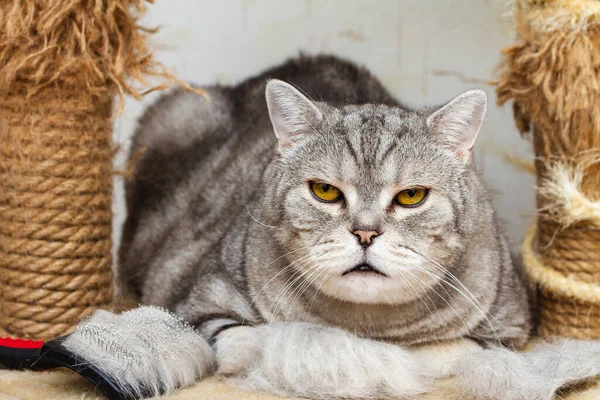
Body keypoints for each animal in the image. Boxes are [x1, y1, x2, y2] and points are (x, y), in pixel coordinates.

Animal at [97, 56, 596, 400]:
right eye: (324, 191)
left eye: (411, 196)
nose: (365, 233)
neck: (368, 323)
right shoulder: (202, 310)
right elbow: (285, 340)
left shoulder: (506, 328)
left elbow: (444, 350)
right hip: (176, 110)